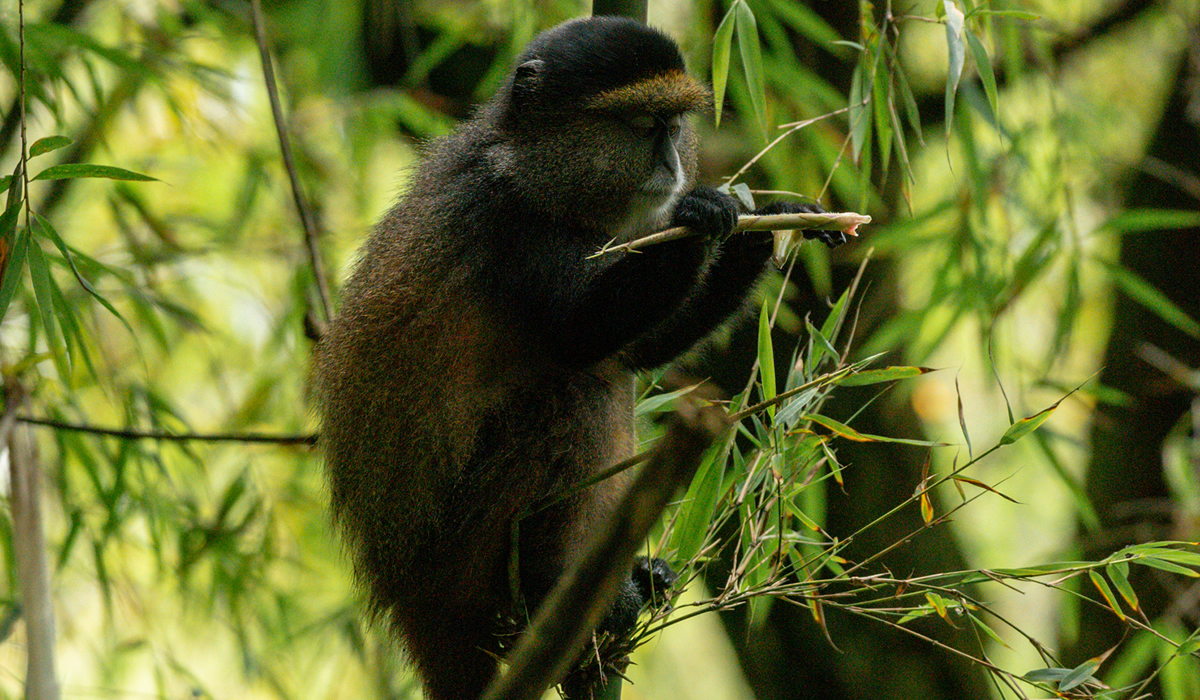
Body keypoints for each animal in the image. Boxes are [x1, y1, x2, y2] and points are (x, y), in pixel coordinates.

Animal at [311, 16, 847, 700]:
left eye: (675, 123)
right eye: (644, 124)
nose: (674, 163)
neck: (528, 163)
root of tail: (409, 595)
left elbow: (637, 349)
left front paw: (771, 220)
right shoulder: (507, 220)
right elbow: (580, 336)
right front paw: (706, 213)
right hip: (466, 550)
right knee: (575, 392)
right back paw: (553, 597)